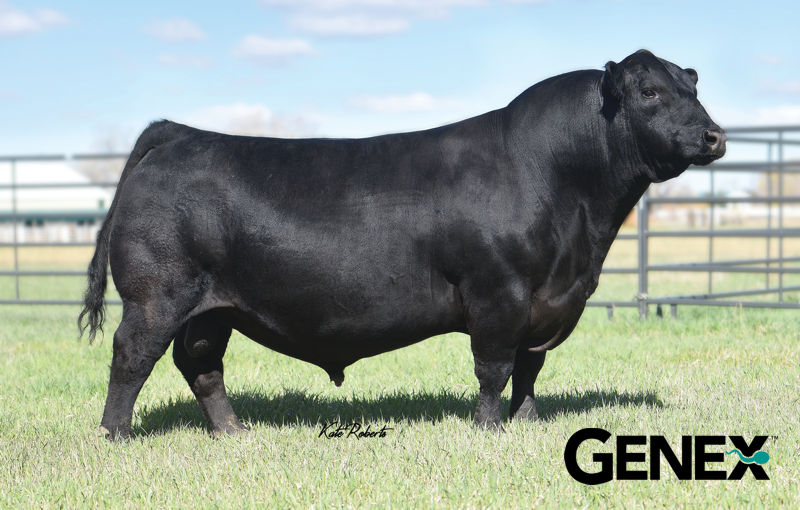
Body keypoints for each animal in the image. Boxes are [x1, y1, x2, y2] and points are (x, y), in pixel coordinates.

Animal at [79, 50, 725, 439]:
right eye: (648, 91)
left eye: (692, 86)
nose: (714, 135)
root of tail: (180, 134)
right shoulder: (499, 293)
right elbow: (494, 367)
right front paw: (488, 430)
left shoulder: (546, 301)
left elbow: (529, 368)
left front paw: (528, 423)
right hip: (157, 294)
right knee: (132, 354)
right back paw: (115, 435)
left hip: (212, 307)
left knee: (201, 362)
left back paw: (232, 432)